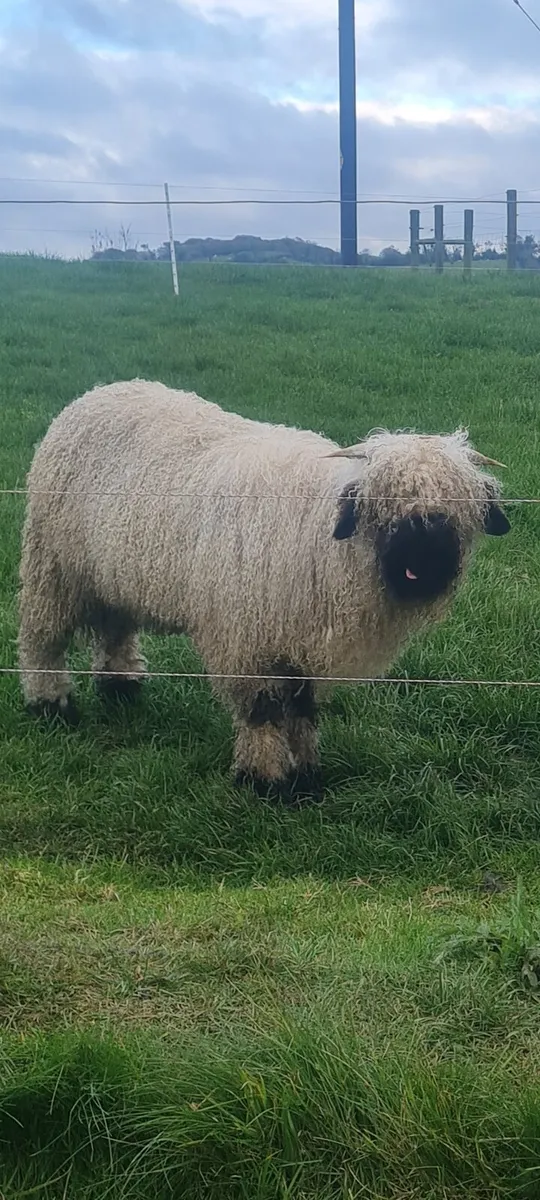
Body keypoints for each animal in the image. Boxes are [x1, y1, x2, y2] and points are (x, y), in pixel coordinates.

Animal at [18, 379, 510, 803]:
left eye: (460, 507)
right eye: (382, 504)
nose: (423, 562)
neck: (321, 541)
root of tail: (99, 391)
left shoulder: (299, 645)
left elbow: (303, 708)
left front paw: (307, 774)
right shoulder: (247, 642)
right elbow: (264, 712)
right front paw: (264, 780)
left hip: (114, 575)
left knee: (115, 627)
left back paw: (121, 686)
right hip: (53, 568)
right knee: (43, 639)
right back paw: (50, 704)